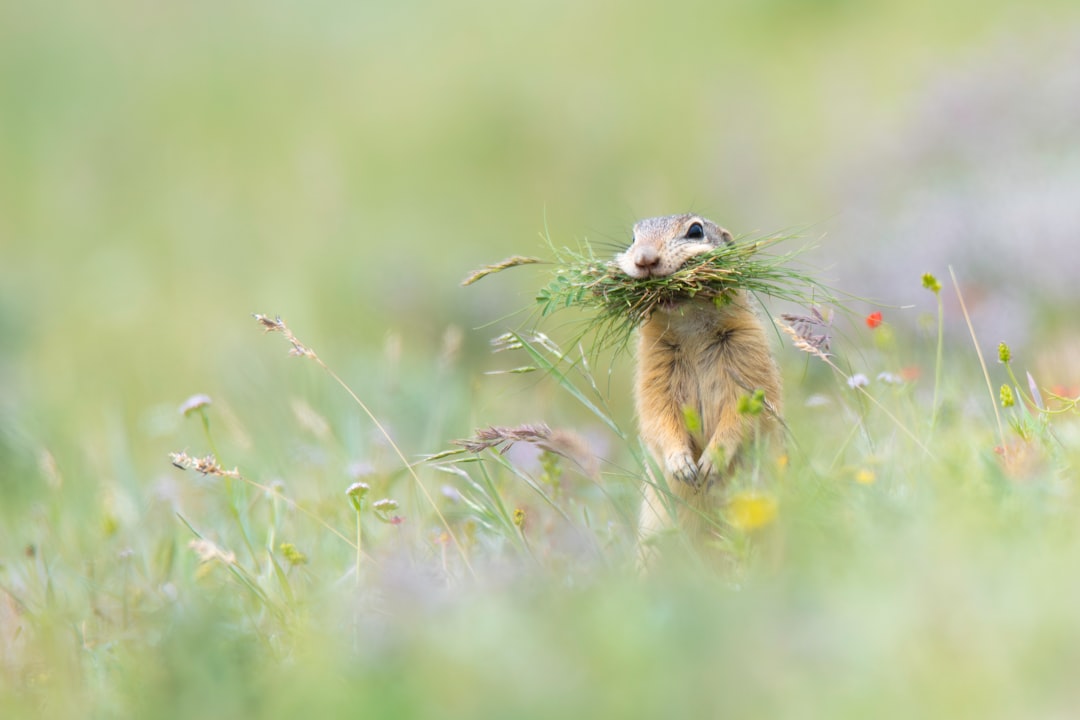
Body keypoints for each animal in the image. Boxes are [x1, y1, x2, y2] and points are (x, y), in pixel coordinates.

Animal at [615, 214, 784, 559]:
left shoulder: (748, 351)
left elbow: (745, 413)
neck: (690, 325)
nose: (645, 259)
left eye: (695, 231)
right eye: (633, 239)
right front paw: (682, 464)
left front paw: (709, 464)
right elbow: (657, 414)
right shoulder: (653, 366)